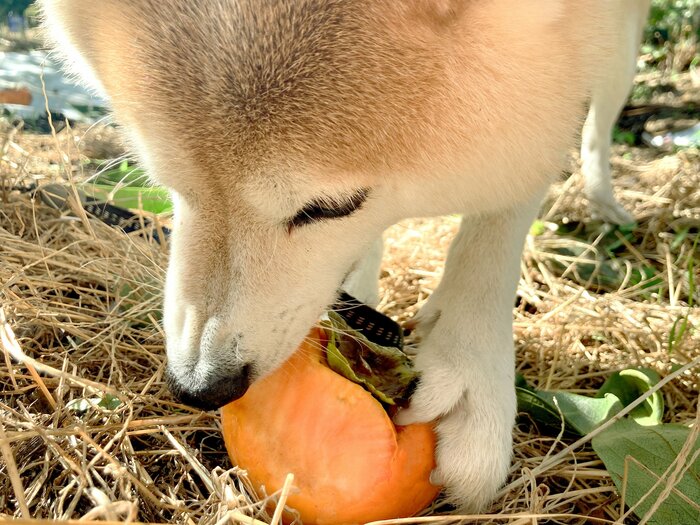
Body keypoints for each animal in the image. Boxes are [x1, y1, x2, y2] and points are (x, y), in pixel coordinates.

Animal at [38, 0, 652, 512]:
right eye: (167, 184)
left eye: (331, 207)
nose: (200, 386)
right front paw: (360, 293)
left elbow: (503, 212)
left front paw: (471, 363)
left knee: (601, 121)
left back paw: (604, 198)